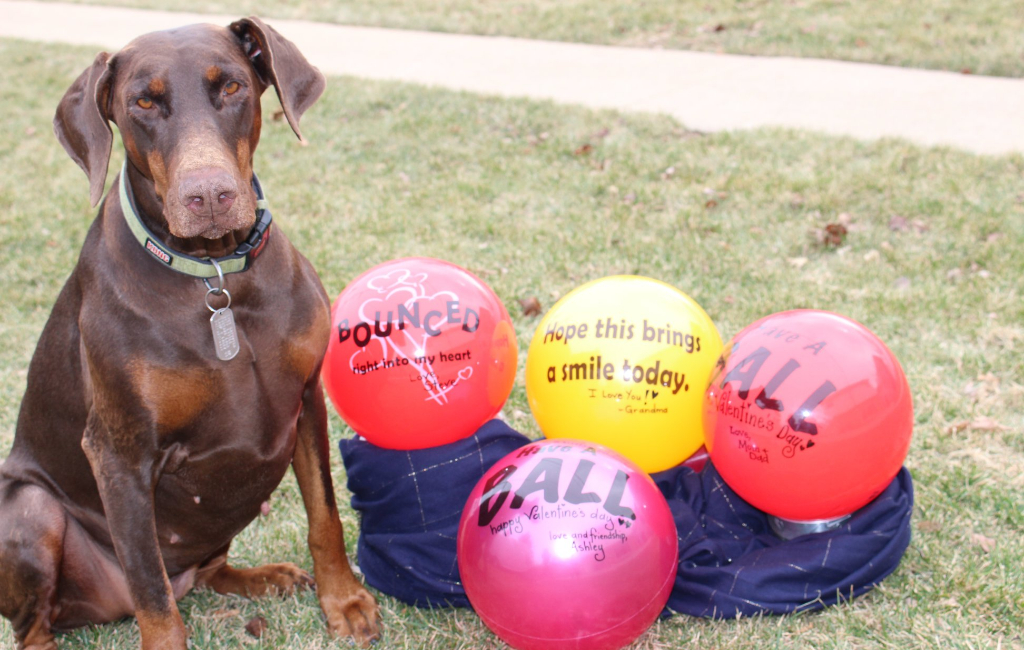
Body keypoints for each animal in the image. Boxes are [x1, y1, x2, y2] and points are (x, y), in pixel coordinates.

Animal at [0, 15, 380, 650]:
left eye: (231, 86)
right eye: (142, 102)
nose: (209, 196)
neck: (216, 277)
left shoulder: (306, 400)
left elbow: (324, 515)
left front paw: (344, 602)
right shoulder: (119, 453)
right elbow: (151, 593)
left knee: (208, 571)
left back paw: (262, 577)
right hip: (29, 510)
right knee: (44, 621)